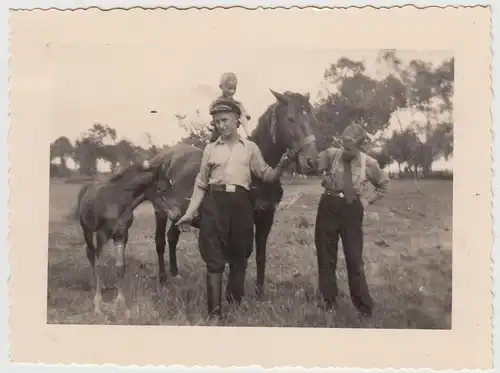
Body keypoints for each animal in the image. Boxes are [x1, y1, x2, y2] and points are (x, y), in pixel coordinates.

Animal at [75, 161, 164, 318]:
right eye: (162, 187)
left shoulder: (122, 236)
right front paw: (98, 305)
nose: (177, 213)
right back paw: (95, 283)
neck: (117, 202)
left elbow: (120, 267)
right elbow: (101, 265)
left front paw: (122, 305)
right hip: (87, 229)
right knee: (91, 254)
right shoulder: (102, 235)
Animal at [136, 88, 324, 298]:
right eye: (291, 118)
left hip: (180, 214)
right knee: (160, 241)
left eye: (313, 118)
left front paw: (259, 293)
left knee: (172, 237)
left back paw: (175, 274)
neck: (258, 173)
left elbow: (261, 255)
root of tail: (159, 158)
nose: (313, 162)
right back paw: (163, 279)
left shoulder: (266, 217)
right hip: (160, 211)